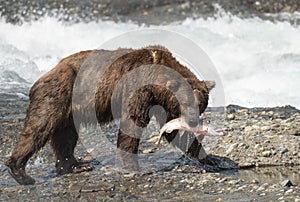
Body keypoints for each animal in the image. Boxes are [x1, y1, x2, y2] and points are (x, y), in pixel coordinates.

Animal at [5, 45, 214, 185]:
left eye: (200, 105)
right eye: (186, 103)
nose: (193, 120)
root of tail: (44, 75)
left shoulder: (162, 103)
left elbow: (173, 130)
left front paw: (210, 158)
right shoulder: (139, 89)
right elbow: (132, 124)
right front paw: (138, 167)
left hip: (70, 110)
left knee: (66, 136)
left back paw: (75, 165)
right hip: (59, 92)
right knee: (40, 126)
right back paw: (21, 172)